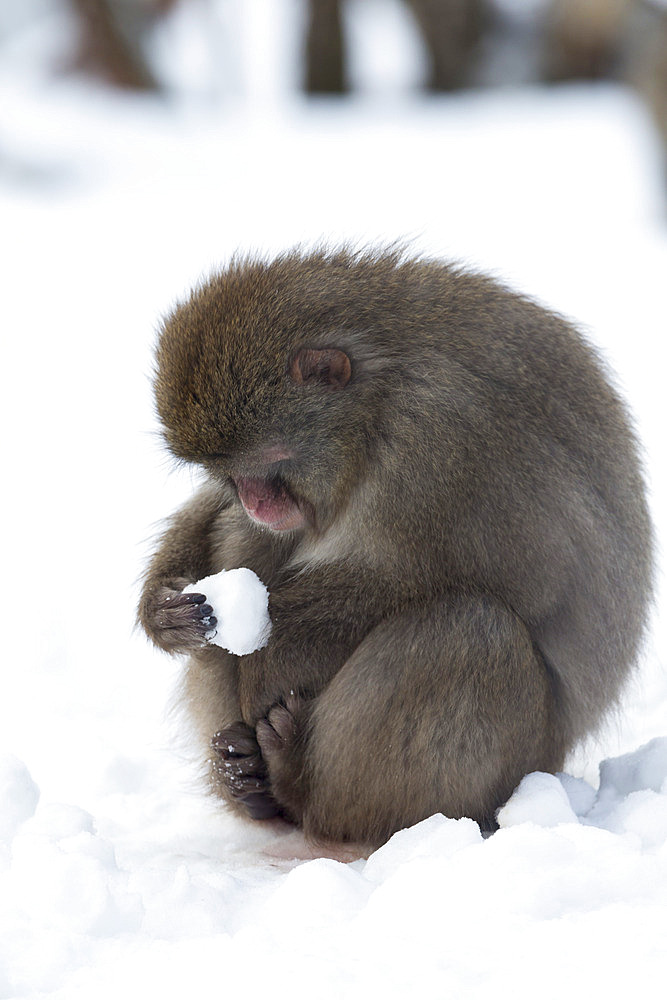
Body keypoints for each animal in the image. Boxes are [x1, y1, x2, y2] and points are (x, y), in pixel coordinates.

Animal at [138, 246, 656, 848]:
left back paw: (294, 779)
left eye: (271, 463)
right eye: (230, 474)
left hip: (519, 763)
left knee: (471, 630)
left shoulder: (445, 436)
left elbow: (531, 576)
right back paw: (248, 781)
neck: (378, 406)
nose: (255, 502)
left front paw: (270, 653)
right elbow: (218, 519)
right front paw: (162, 609)